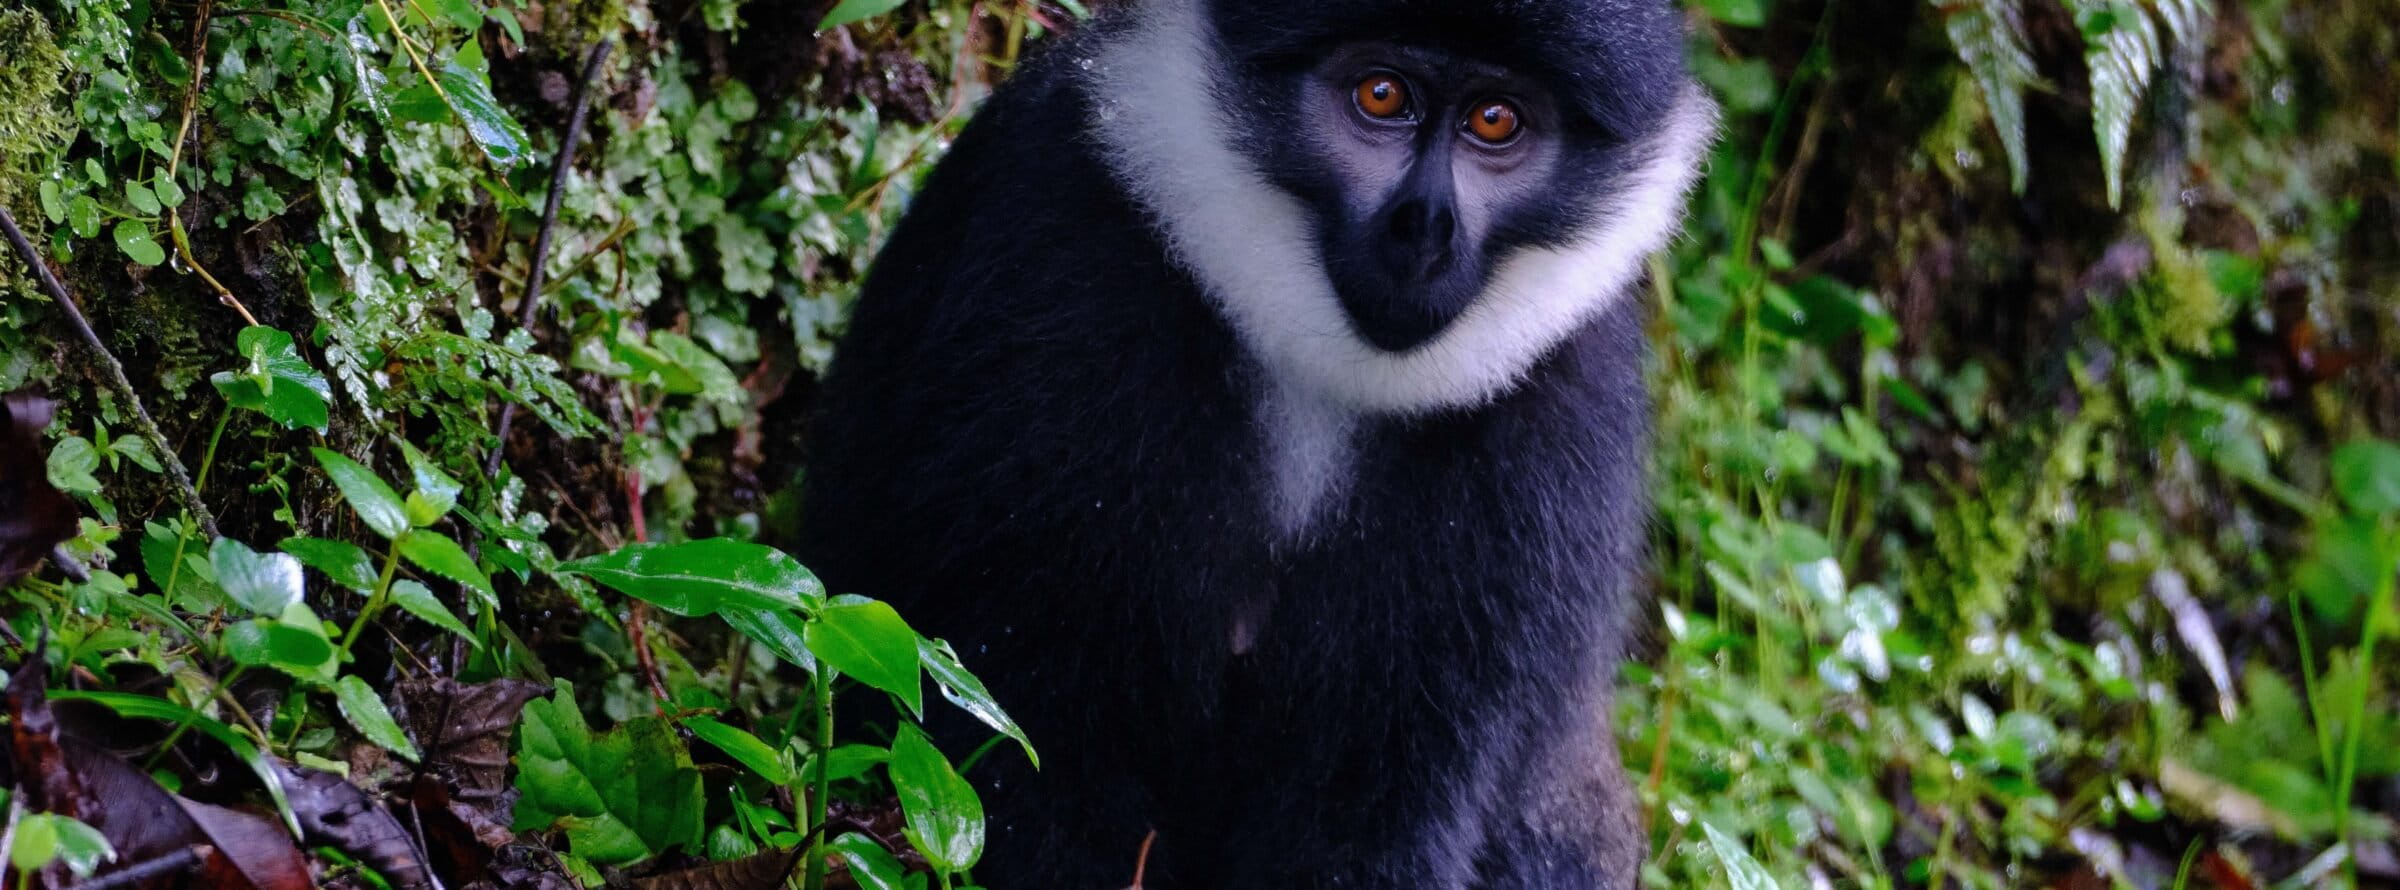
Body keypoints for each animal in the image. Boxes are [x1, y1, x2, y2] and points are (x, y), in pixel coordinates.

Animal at [795, 0, 1715, 886]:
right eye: (1382, 94)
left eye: (1496, 120)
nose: (1426, 226)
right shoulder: (1054, 244)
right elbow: (1029, 730)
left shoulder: (1563, 398)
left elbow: (1386, 797)